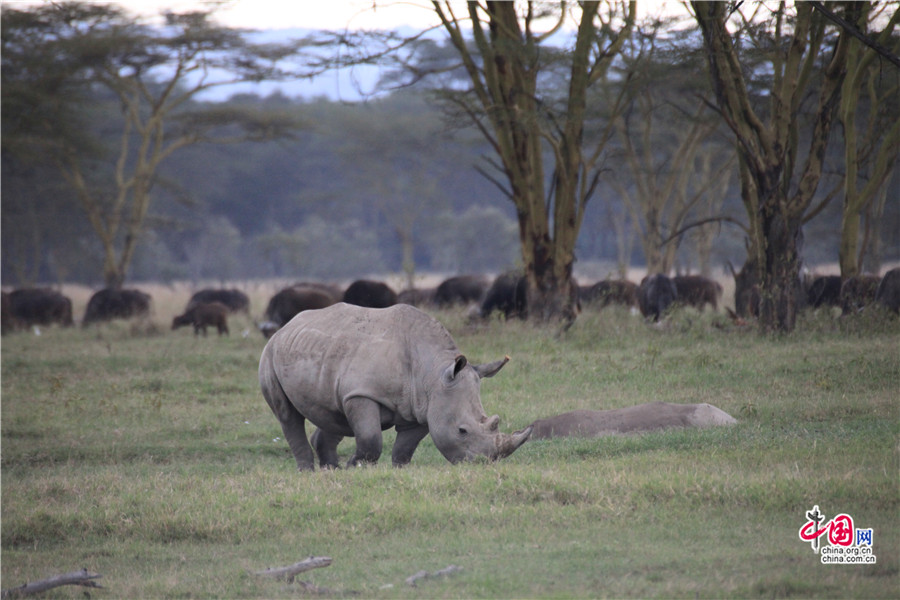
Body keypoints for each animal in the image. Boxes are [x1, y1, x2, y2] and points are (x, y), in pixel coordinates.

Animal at [256, 304, 532, 468]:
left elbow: (404, 448)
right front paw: (355, 467)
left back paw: (330, 470)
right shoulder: (362, 394)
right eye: (462, 431)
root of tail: (286, 326)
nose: (483, 464)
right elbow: (370, 439)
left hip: (322, 353)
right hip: (269, 354)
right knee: (287, 415)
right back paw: (308, 471)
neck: (433, 371)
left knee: (334, 415)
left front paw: (398, 470)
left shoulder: (423, 407)